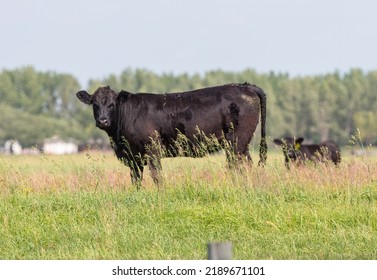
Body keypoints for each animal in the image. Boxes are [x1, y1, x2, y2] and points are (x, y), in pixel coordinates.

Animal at [75, 83, 268, 187]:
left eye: (112, 105)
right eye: (95, 104)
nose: (103, 121)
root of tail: (245, 86)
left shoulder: (152, 149)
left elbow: (157, 176)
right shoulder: (134, 157)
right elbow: (136, 179)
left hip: (237, 142)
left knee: (238, 166)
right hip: (240, 145)